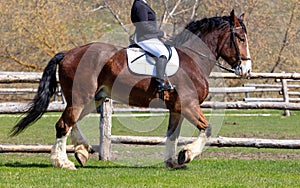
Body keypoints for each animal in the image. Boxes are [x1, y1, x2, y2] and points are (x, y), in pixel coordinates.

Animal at [11, 9, 251, 170]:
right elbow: (207, 129)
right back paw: (63, 162)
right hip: (81, 97)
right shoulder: (189, 105)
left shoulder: (177, 108)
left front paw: (172, 161)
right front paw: (187, 155)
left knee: (71, 122)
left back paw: (81, 152)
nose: (246, 70)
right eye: (240, 38)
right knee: (64, 124)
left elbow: (172, 135)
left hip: (92, 98)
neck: (192, 59)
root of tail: (68, 53)